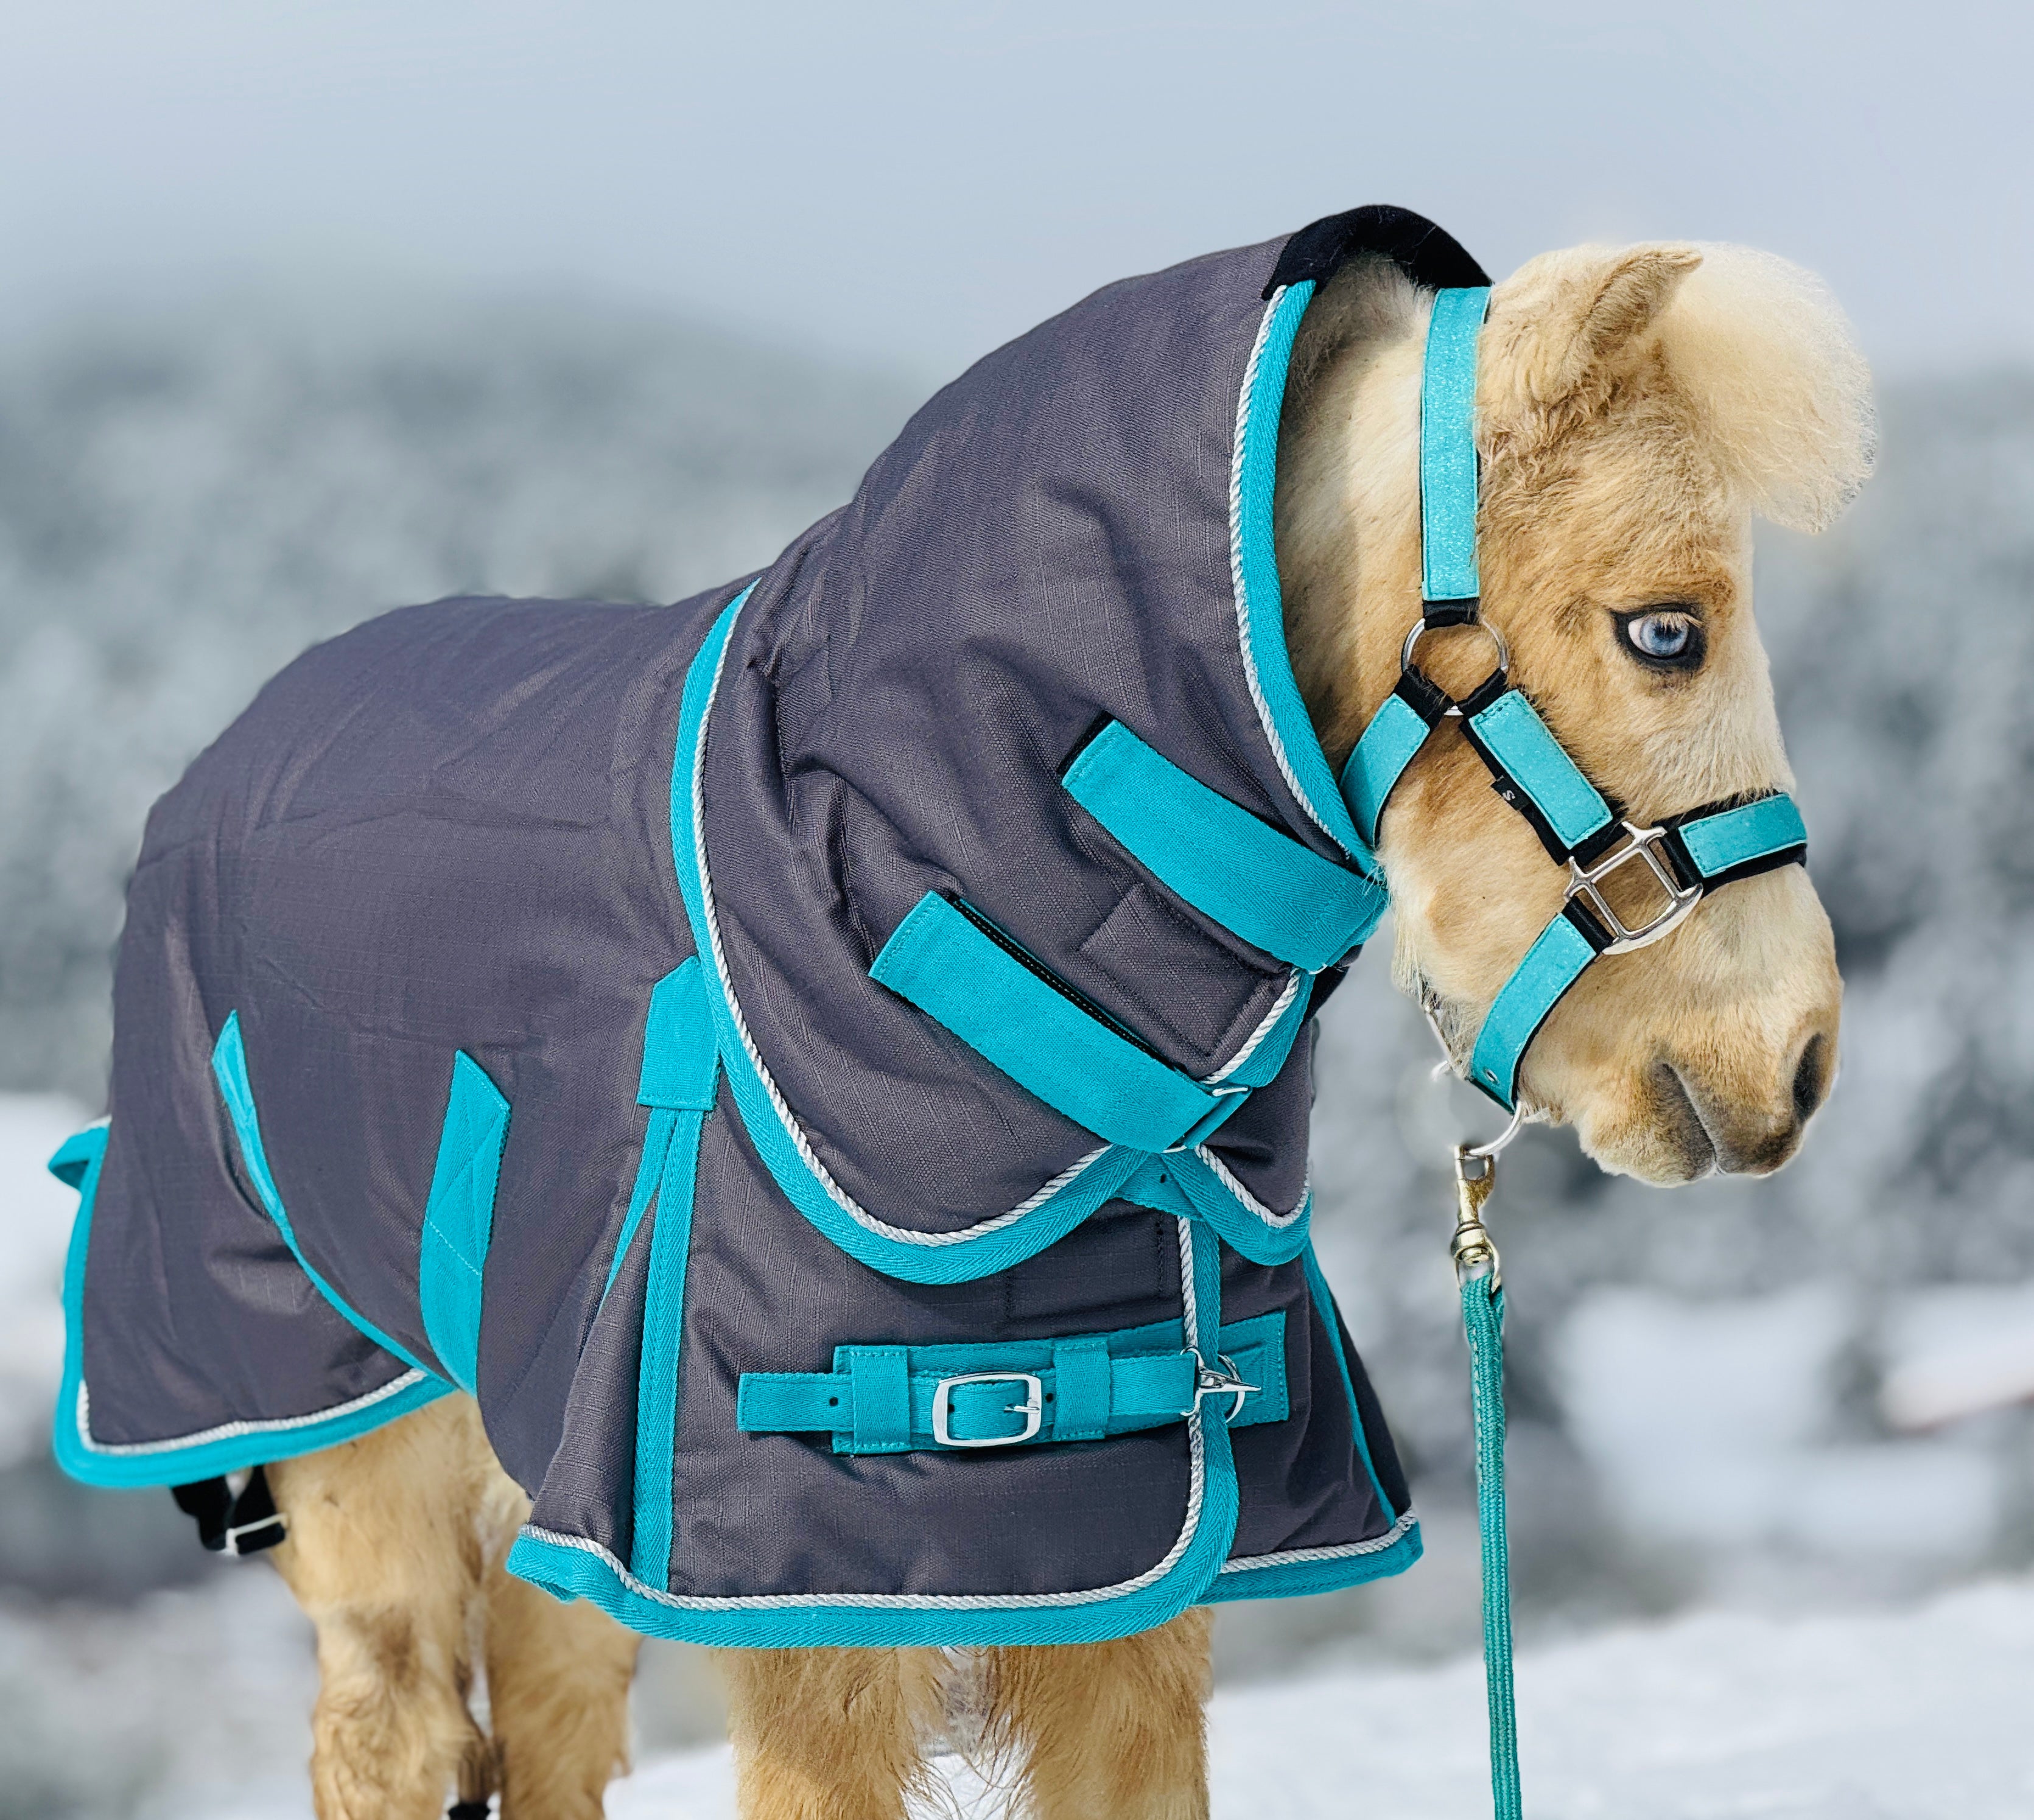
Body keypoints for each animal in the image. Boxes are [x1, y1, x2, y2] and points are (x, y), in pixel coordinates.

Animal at [53, 213, 1870, 1820]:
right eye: (1663, 629)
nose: (1793, 1062)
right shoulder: (810, 1620)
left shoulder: (1129, 1608)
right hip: (368, 1476)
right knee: (393, 1740)